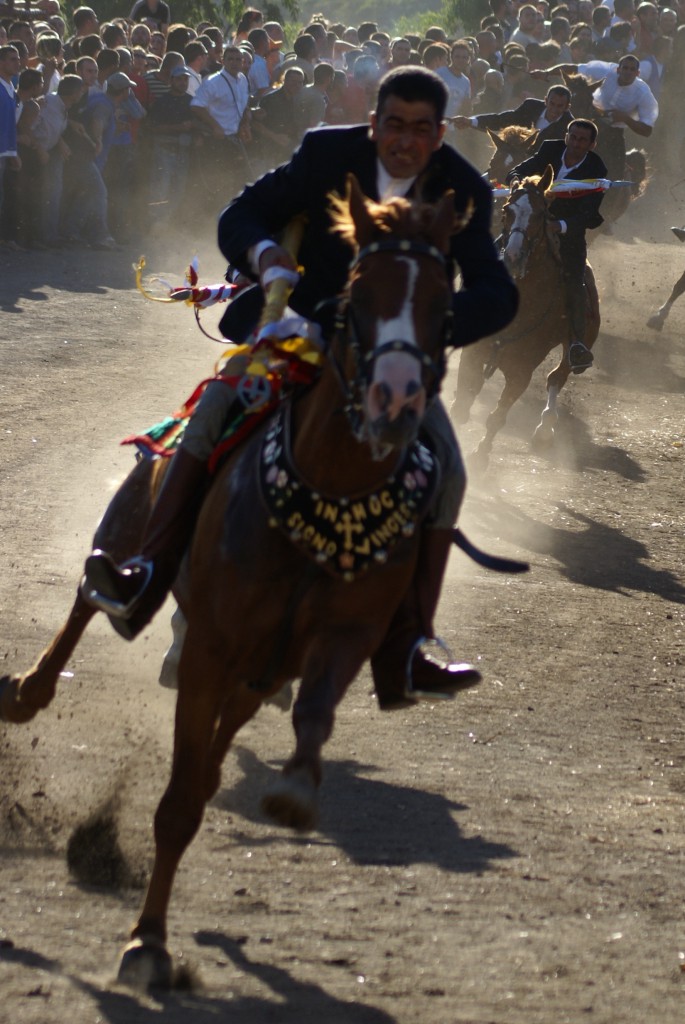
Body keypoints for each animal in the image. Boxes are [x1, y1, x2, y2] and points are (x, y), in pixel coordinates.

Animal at [1, 180, 475, 987]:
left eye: (445, 304)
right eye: (356, 294)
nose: (395, 397)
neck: (326, 491)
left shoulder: (325, 644)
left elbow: (301, 720)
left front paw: (292, 791)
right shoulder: (212, 648)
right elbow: (178, 802)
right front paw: (146, 944)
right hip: (133, 518)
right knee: (89, 596)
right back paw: (29, 689)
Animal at [454, 171, 597, 464]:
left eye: (541, 213)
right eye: (507, 210)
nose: (513, 256)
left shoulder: (522, 371)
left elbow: (497, 417)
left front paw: (480, 457)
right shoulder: (473, 353)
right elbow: (461, 405)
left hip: (578, 344)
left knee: (557, 376)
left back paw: (545, 429)